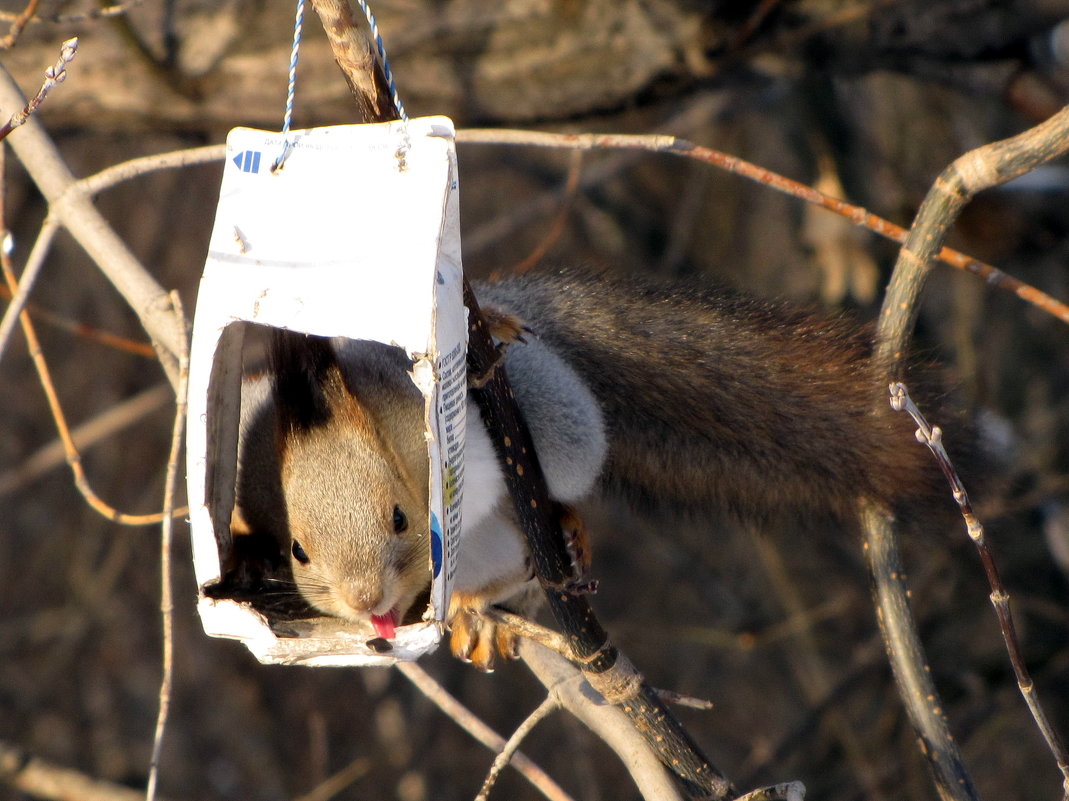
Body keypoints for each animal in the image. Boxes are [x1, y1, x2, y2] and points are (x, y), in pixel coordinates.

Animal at [234, 267, 953, 667]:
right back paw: (474, 608)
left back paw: (559, 528)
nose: (367, 602)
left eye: (398, 518)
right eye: (299, 550)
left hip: (551, 413)